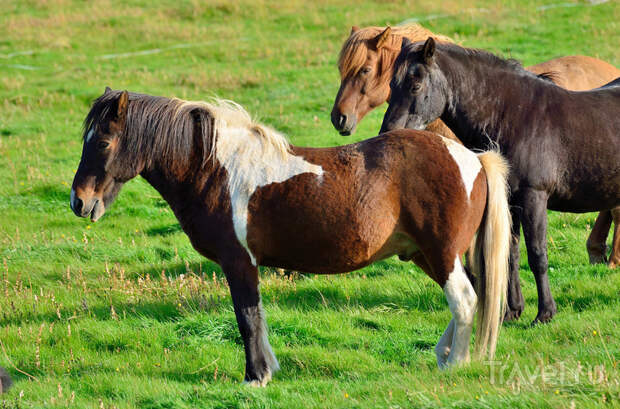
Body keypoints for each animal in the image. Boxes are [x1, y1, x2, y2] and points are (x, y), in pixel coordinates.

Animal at [70, 87, 512, 384]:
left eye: (104, 141)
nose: (79, 201)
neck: (217, 169)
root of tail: (473, 158)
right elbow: (256, 318)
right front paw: (266, 370)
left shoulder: (239, 263)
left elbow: (247, 319)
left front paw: (255, 377)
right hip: (426, 255)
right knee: (469, 298)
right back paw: (445, 355)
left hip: (442, 253)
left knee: (464, 301)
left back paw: (454, 365)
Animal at [332, 23, 620, 322]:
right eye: (391, 84)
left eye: (416, 84)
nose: (388, 133)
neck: (518, 117)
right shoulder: (509, 200)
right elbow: (509, 253)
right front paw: (512, 312)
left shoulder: (534, 198)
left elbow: (537, 254)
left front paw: (544, 313)